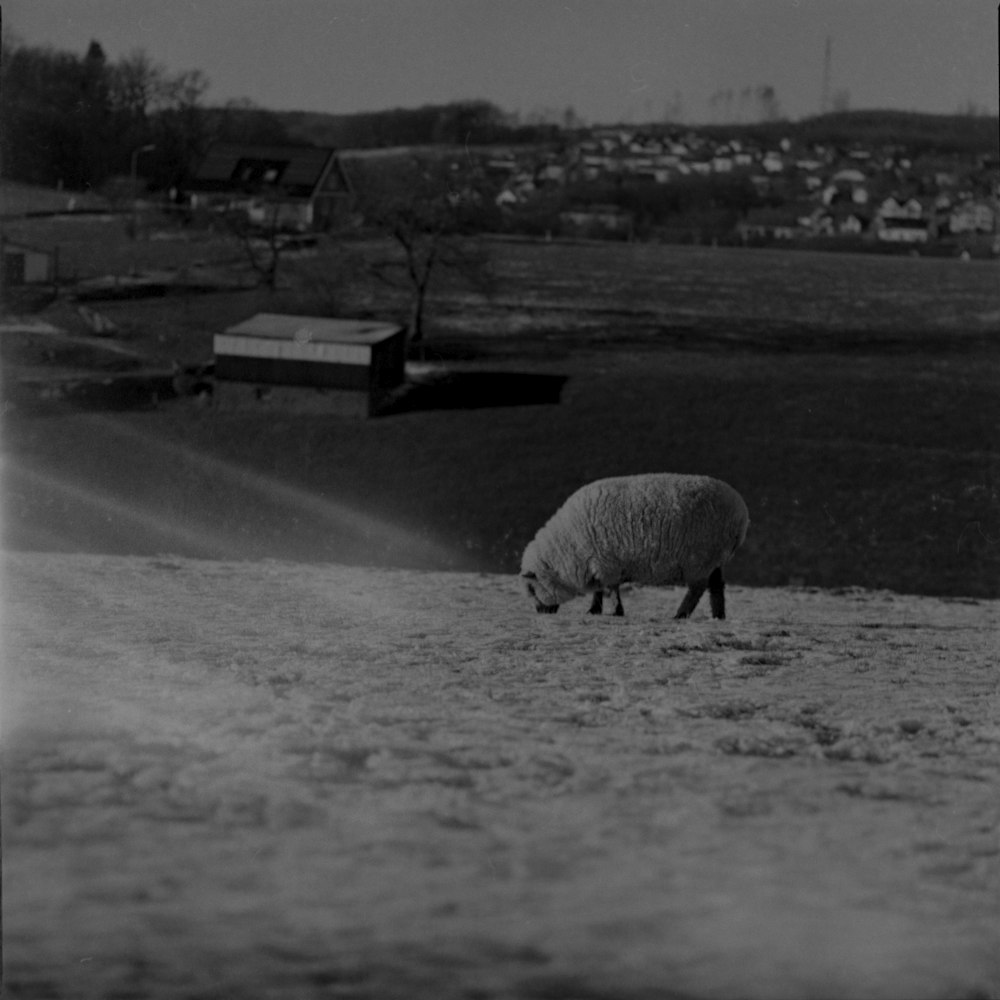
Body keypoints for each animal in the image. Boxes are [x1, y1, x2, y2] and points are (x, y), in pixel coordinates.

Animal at [520, 470, 748, 616]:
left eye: (532, 588)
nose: (540, 612)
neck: (567, 547)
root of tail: (741, 512)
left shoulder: (605, 562)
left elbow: (610, 590)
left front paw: (614, 611)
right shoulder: (599, 563)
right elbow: (600, 590)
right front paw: (594, 610)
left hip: (699, 558)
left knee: (697, 589)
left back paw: (680, 614)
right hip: (715, 558)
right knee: (716, 587)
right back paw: (718, 616)